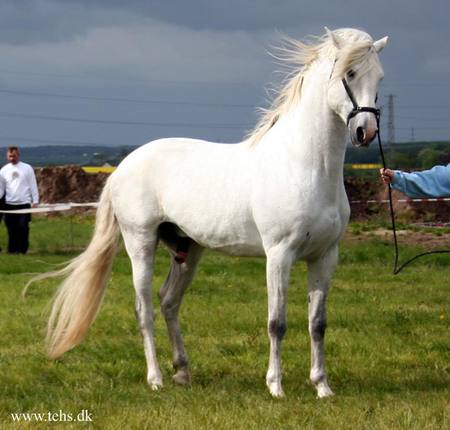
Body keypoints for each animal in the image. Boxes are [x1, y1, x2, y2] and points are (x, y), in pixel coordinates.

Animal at [40, 26, 388, 398]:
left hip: (188, 249)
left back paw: (182, 372)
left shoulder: (325, 257)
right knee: (144, 309)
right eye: (349, 74)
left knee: (168, 301)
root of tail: (122, 168)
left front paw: (322, 387)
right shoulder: (279, 255)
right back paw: (156, 378)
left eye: (379, 76)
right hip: (140, 244)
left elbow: (318, 323)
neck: (305, 166)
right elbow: (276, 323)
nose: (366, 131)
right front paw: (275, 387)